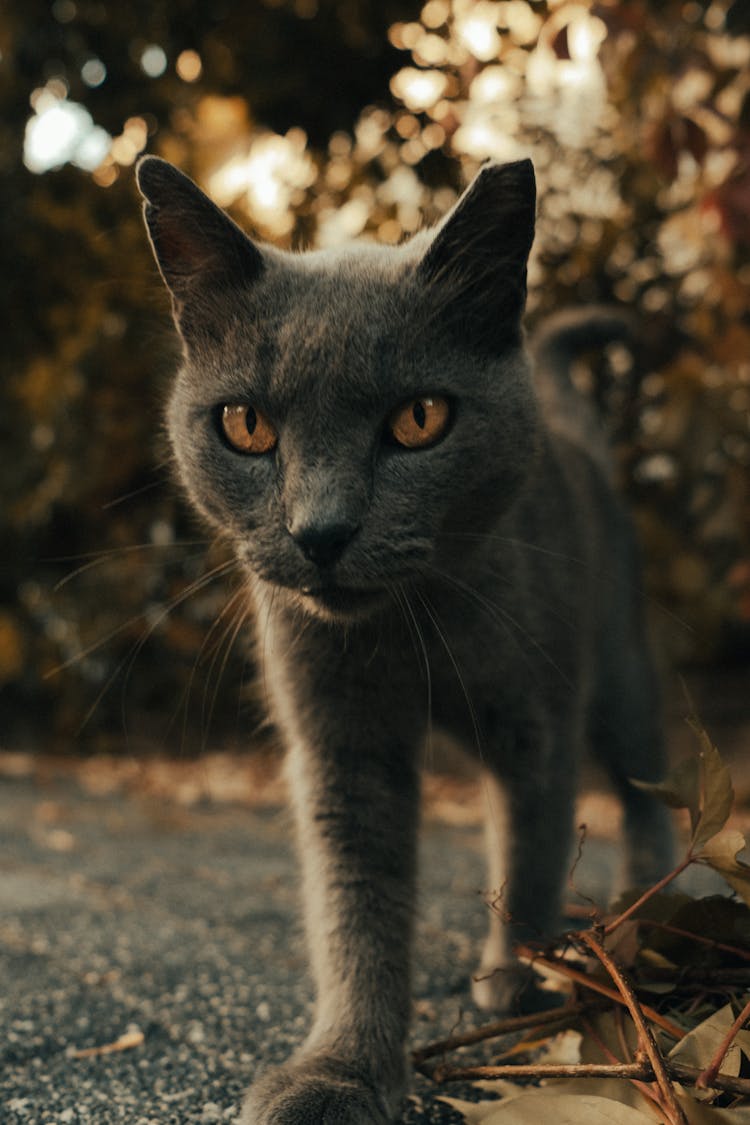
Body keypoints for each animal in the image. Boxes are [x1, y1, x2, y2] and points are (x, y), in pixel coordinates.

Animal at [136, 154, 674, 1120]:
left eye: (420, 419)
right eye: (246, 426)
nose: (320, 531)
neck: (412, 634)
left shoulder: (536, 714)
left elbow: (533, 847)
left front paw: (516, 976)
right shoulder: (339, 738)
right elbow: (357, 900)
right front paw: (341, 1067)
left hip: (617, 659)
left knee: (644, 780)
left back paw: (638, 904)